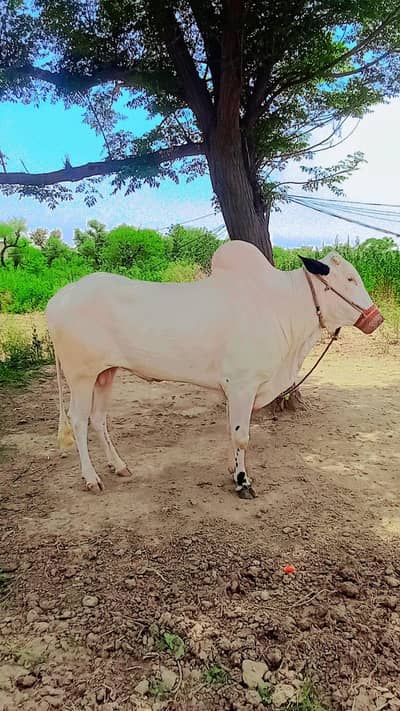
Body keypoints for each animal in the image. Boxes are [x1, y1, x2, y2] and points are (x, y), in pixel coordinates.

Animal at [45, 240, 383, 498]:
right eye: (350, 279)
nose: (377, 318)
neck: (281, 306)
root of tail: (60, 297)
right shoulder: (242, 385)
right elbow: (241, 436)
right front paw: (243, 482)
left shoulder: (234, 390)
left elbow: (231, 432)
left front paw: (234, 470)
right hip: (81, 376)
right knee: (78, 421)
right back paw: (91, 478)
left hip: (106, 373)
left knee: (98, 418)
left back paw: (118, 465)